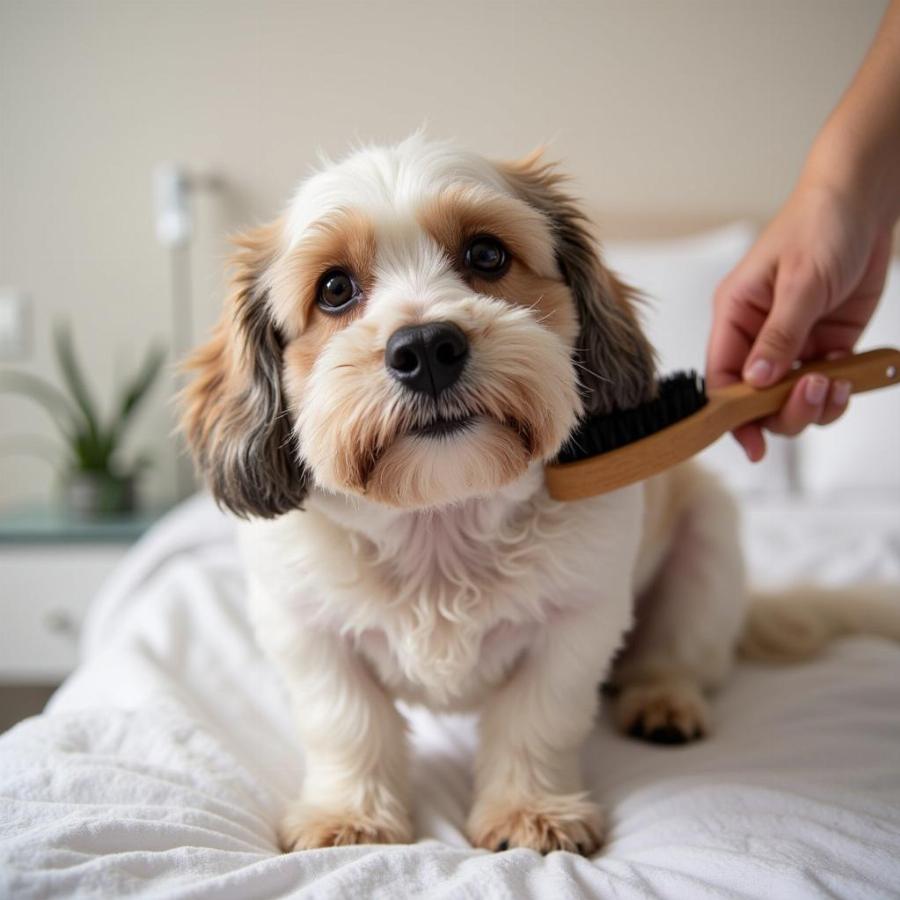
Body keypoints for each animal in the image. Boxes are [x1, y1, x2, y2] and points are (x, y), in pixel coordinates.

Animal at [185, 135, 900, 856]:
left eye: (486, 255)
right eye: (334, 289)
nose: (427, 346)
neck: (441, 522)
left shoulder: (576, 624)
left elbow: (535, 720)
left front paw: (530, 812)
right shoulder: (308, 632)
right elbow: (347, 725)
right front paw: (349, 814)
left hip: (707, 544)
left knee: (679, 653)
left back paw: (663, 700)